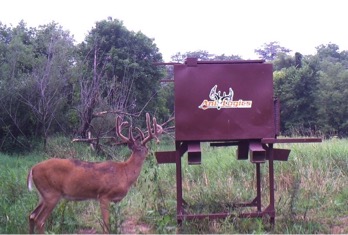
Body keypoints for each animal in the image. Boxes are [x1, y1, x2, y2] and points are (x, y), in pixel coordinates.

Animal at [27, 113, 163, 233]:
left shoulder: (117, 200)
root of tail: (32, 169)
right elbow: (106, 226)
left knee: (31, 215)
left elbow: (119, 225)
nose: (151, 153)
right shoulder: (104, 195)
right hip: (51, 193)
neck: (125, 173)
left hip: (43, 195)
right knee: (40, 220)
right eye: (145, 149)